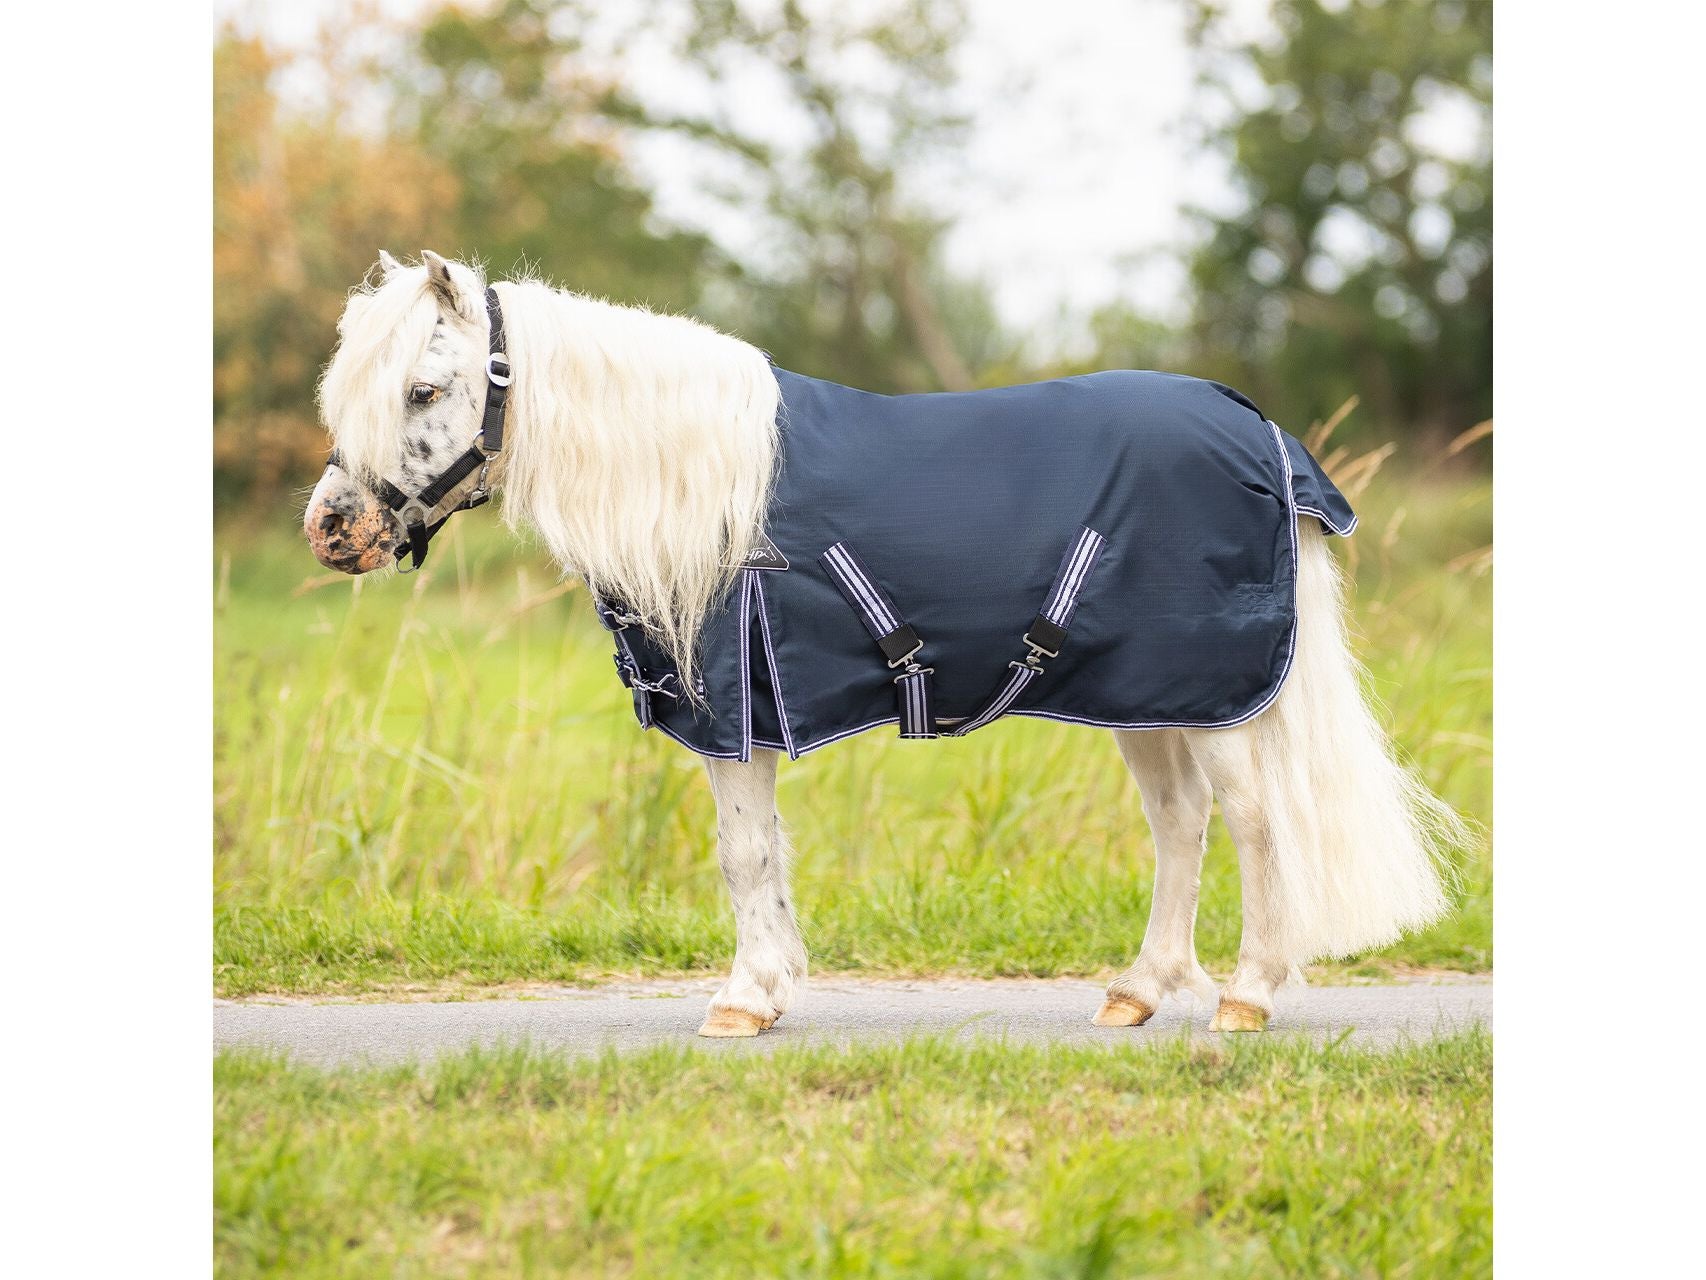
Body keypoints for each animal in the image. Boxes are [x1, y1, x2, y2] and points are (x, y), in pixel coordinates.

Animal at [304, 250, 1463, 1037]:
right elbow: (762, 853)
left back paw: (1246, 996)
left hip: (1210, 697)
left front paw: (742, 999)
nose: (330, 529)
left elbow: (742, 852)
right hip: (1150, 698)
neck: (706, 492)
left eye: (421, 390)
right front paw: (770, 989)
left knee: (1254, 822)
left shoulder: (735, 707)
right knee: (1179, 824)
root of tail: (1258, 429)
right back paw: (1135, 993)